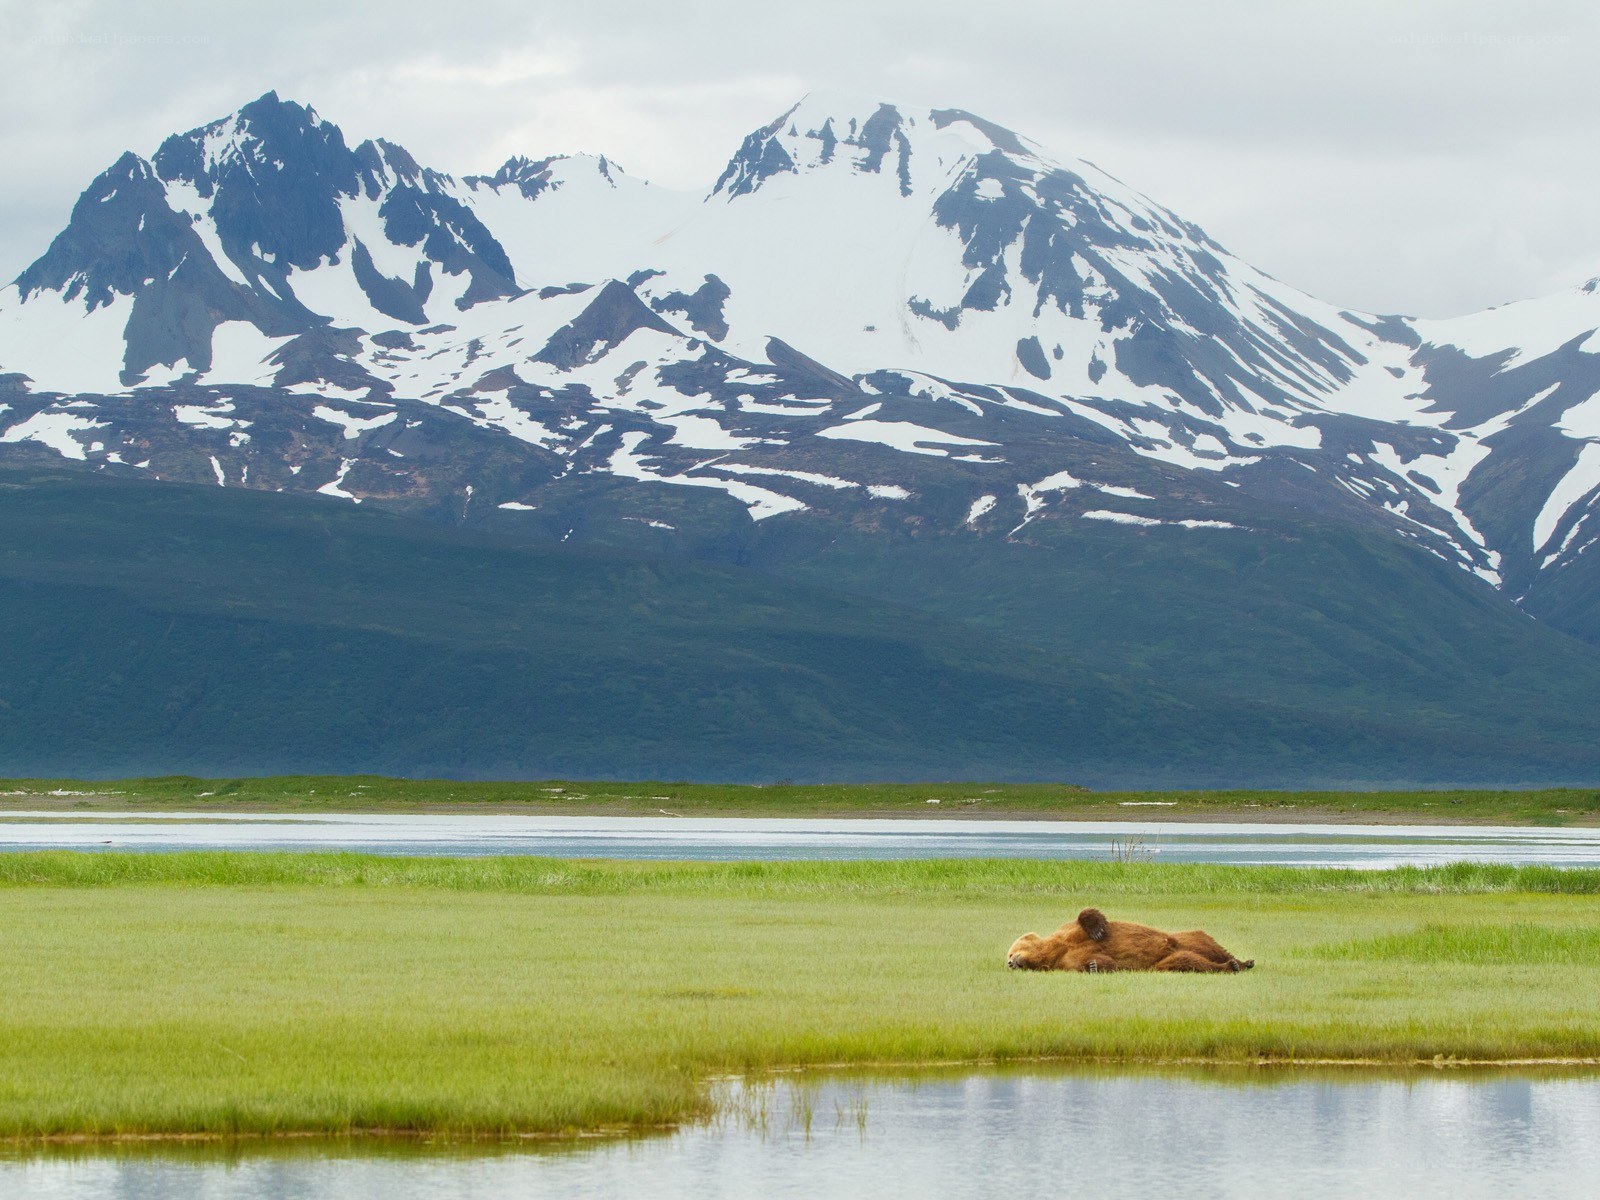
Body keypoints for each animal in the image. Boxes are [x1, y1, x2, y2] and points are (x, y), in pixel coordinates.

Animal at [1006, 908, 1254, 973]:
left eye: (1011, 950)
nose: (1010, 962)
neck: (1057, 950)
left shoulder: (1069, 934)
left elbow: (1085, 916)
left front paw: (1097, 930)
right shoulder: (1068, 961)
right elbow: (1098, 962)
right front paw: (1095, 966)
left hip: (1188, 936)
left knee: (1211, 945)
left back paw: (1243, 961)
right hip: (1166, 961)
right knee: (1190, 962)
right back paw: (1231, 966)